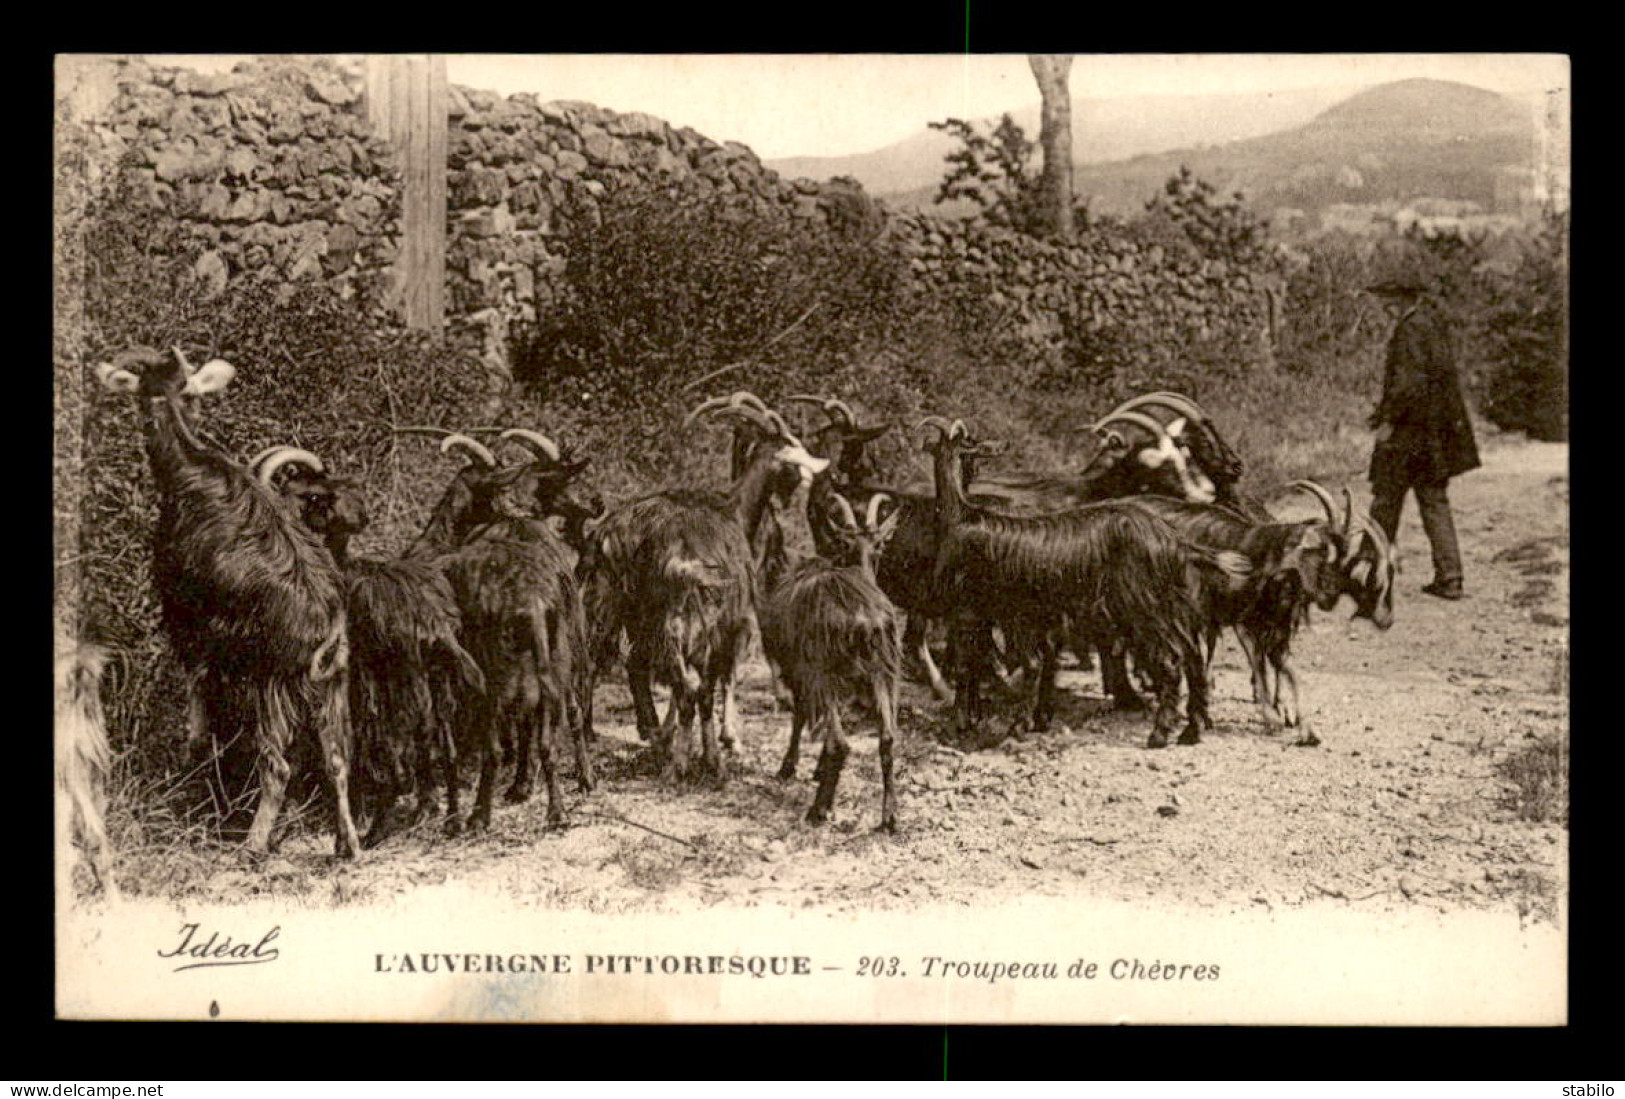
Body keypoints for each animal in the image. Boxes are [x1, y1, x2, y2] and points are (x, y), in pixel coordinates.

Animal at [97, 347, 362, 864]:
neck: (190, 462)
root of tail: (323, 635)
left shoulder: (186, 619)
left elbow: (199, 701)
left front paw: (193, 758)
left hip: (271, 683)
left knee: (278, 764)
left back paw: (253, 846)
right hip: (333, 686)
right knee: (338, 759)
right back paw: (348, 845)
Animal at [757, 490, 903, 825]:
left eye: (879, 545)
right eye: (846, 545)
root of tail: (866, 619)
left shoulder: (799, 668)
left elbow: (800, 713)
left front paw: (789, 767)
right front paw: (817, 769)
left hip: (822, 670)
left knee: (840, 742)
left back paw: (818, 810)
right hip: (882, 672)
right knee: (887, 737)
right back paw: (889, 816)